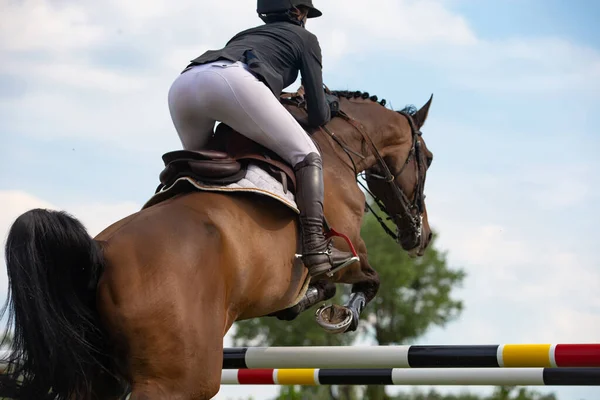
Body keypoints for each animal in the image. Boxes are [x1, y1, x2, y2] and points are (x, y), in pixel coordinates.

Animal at [0, 89, 434, 398]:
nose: (422, 236)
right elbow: (369, 280)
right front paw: (340, 316)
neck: (334, 148)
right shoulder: (350, 251)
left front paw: (305, 306)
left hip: (100, 376)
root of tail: (99, 253)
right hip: (179, 382)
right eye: (427, 158)